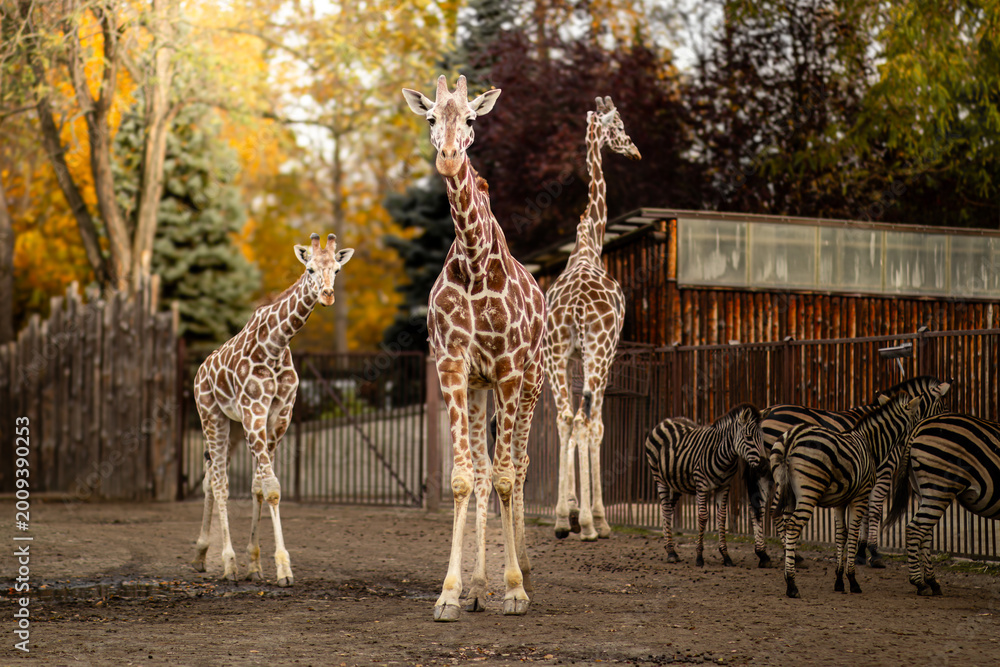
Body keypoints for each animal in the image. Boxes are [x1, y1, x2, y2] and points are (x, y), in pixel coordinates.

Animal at [190, 233, 354, 586]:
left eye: (336, 269)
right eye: (309, 268)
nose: (327, 295)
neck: (276, 345)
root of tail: (200, 371)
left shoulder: (278, 418)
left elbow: (259, 488)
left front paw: (256, 564)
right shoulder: (254, 412)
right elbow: (272, 488)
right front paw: (283, 568)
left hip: (233, 425)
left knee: (210, 477)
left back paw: (200, 556)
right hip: (211, 415)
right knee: (220, 483)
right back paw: (227, 564)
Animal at [402, 75, 546, 622]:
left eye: (470, 118)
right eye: (429, 117)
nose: (447, 157)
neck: (474, 261)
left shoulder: (507, 368)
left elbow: (506, 477)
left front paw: (516, 591)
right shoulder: (452, 366)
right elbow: (466, 477)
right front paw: (451, 593)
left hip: (530, 384)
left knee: (518, 469)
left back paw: (523, 575)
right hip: (482, 387)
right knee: (486, 473)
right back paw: (481, 586)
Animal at [644, 404, 766, 567]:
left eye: (762, 439)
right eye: (748, 437)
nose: (764, 466)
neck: (723, 454)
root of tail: (665, 420)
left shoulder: (724, 486)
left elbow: (722, 517)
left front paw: (726, 556)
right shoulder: (701, 484)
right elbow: (702, 516)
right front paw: (699, 556)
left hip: (676, 483)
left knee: (668, 511)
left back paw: (669, 548)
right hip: (659, 478)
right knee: (665, 509)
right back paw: (671, 552)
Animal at [770, 382, 950, 599]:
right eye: (941, 408)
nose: (937, 435)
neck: (871, 443)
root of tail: (791, 437)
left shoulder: (840, 501)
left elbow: (841, 535)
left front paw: (839, 581)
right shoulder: (861, 495)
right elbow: (855, 532)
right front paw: (853, 579)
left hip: (786, 492)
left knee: (782, 520)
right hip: (808, 492)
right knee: (793, 526)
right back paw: (792, 583)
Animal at [886, 412, 1000, 596]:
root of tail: (918, 428)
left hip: (922, 490)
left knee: (925, 533)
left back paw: (932, 582)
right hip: (940, 487)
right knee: (915, 529)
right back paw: (920, 583)